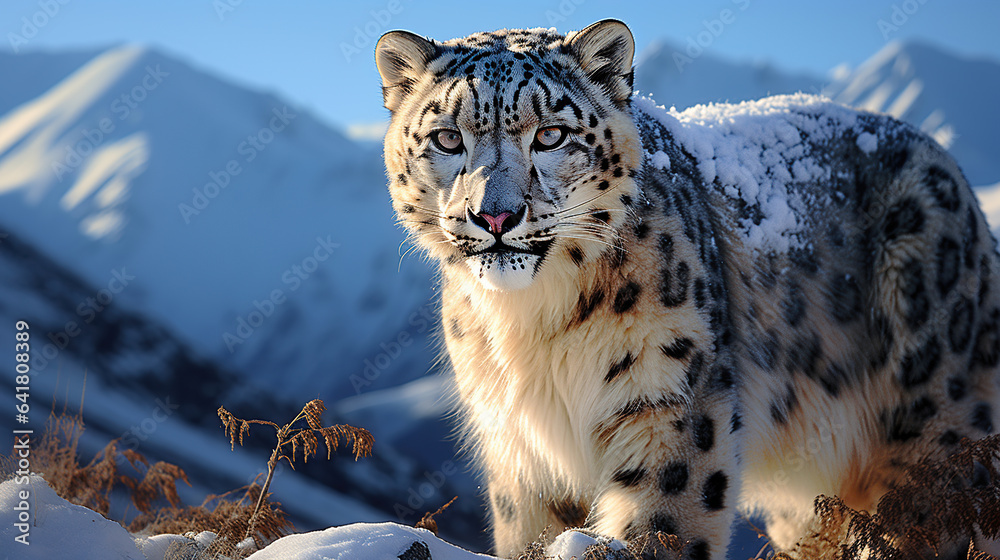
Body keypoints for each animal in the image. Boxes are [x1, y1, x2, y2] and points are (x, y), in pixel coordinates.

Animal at [374, 19, 1000, 559]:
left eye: (551, 134)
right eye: (447, 138)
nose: (494, 216)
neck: (531, 327)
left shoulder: (670, 404)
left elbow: (664, 525)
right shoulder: (520, 449)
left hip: (935, 438)